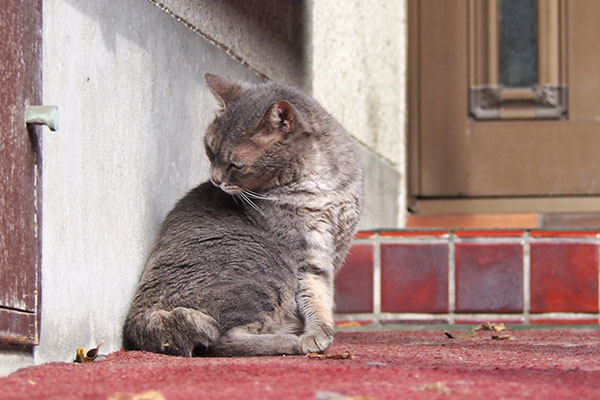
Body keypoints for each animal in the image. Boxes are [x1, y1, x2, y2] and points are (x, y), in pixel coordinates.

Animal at [123, 72, 360, 356]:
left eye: (236, 165)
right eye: (210, 151)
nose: (215, 180)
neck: (320, 185)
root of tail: (140, 316)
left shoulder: (337, 244)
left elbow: (323, 291)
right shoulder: (305, 251)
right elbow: (314, 291)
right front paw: (317, 334)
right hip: (269, 269)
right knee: (223, 340)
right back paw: (290, 342)